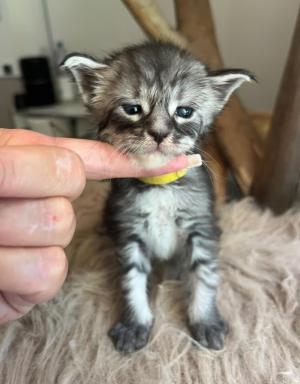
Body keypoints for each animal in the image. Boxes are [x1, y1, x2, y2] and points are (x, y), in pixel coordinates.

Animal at [63, 42, 253, 354]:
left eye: (184, 111)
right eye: (132, 109)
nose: (159, 133)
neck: (160, 187)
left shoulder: (201, 225)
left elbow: (205, 275)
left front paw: (205, 320)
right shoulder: (129, 231)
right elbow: (131, 280)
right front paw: (134, 323)